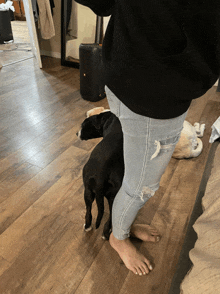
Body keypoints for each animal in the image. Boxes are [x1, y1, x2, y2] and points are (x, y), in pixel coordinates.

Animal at [78, 111, 124, 240]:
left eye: (83, 125)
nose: (77, 133)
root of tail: (101, 174)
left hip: (88, 191)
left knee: (88, 212)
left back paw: (89, 226)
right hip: (111, 195)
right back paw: (106, 232)